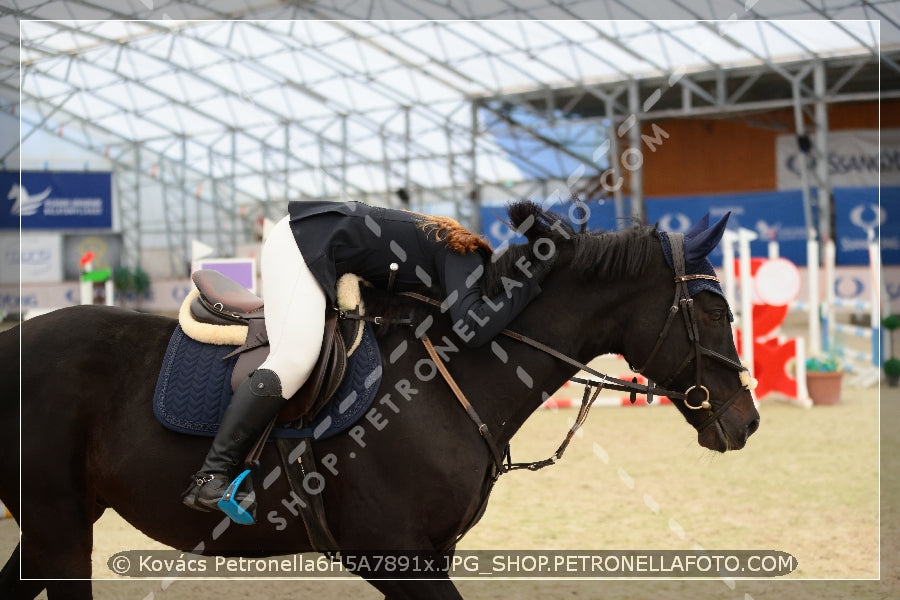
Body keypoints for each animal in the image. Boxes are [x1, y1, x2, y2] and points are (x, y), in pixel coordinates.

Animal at [0, 203, 760, 600]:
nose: (746, 421)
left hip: (56, 524)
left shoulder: (429, 556)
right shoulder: (396, 557)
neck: (454, 374)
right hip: (60, 529)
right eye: (713, 308)